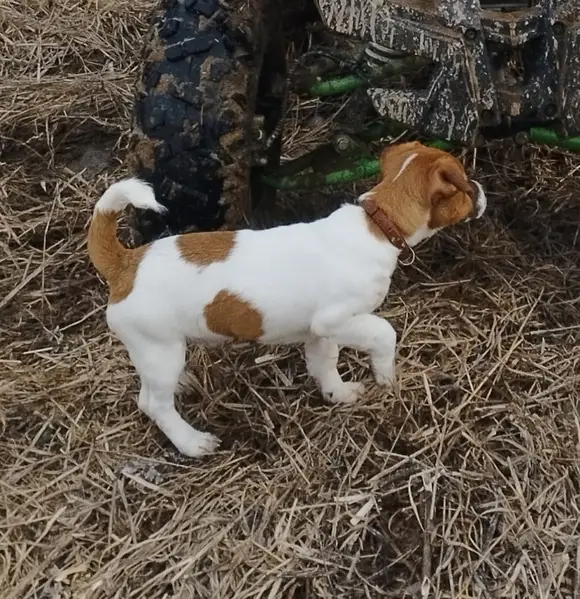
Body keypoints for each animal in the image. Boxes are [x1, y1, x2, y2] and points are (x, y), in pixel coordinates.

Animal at [88, 141, 487, 457]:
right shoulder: (337, 319)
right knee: (153, 403)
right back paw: (191, 442)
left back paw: (185, 384)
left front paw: (338, 393)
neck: (377, 225)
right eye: (466, 185)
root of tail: (125, 263)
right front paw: (386, 378)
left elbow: (325, 364)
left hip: (161, 350)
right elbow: (385, 335)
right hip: (158, 347)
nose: (481, 189)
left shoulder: (320, 332)